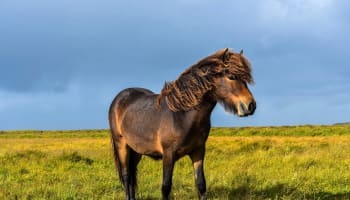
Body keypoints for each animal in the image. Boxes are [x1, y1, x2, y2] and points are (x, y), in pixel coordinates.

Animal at [108, 48, 256, 200]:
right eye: (231, 76)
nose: (251, 106)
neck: (183, 115)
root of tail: (119, 98)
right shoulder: (168, 155)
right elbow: (166, 187)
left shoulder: (198, 151)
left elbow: (201, 185)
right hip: (122, 145)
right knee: (126, 175)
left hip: (136, 150)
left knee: (132, 175)